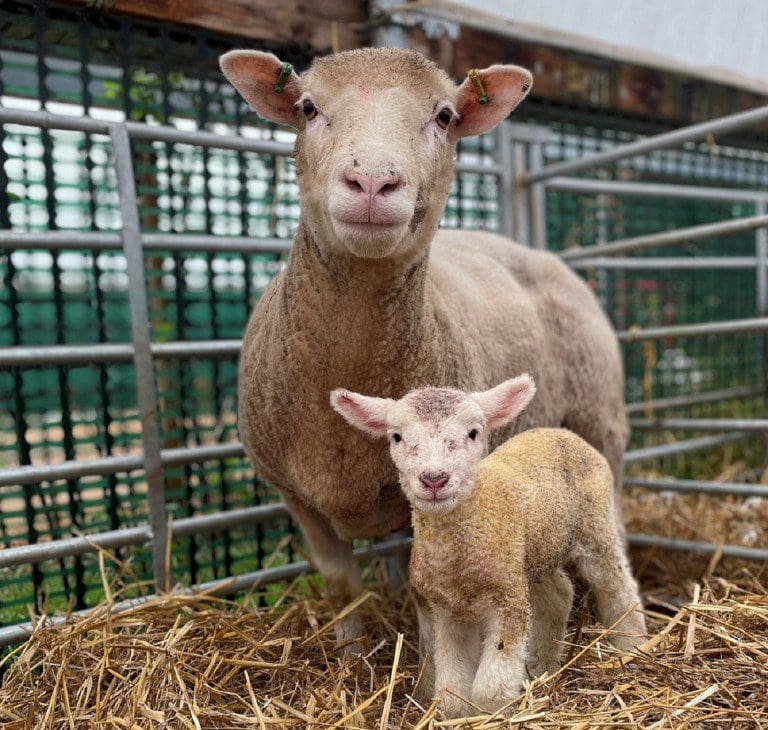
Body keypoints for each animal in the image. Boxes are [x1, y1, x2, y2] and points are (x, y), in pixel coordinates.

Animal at [220, 47, 628, 653]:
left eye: (443, 116)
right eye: (308, 107)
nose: (372, 181)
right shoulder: (299, 501)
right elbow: (343, 589)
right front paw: (349, 657)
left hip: (601, 421)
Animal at [331, 375, 646, 717]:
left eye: (473, 433)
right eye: (397, 436)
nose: (434, 479)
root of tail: (560, 432)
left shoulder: (507, 601)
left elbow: (490, 688)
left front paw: (491, 712)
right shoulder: (446, 610)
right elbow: (452, 687)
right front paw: (457, 713)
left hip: (595, 527)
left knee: (617, 587)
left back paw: (632, 645)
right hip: (533, 552)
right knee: (559, 593)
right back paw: (543, 664)